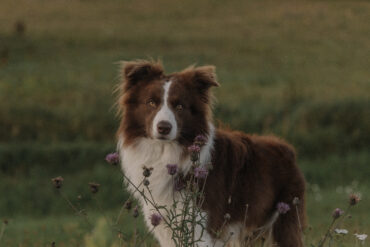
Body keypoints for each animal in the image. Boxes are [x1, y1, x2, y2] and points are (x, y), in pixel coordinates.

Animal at [116, 60, 306, 247]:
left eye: (179, 106)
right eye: (151, 103)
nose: (164, 128)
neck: (167, 152)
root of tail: (286, 147)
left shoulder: (202, 225)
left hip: (285, 216)